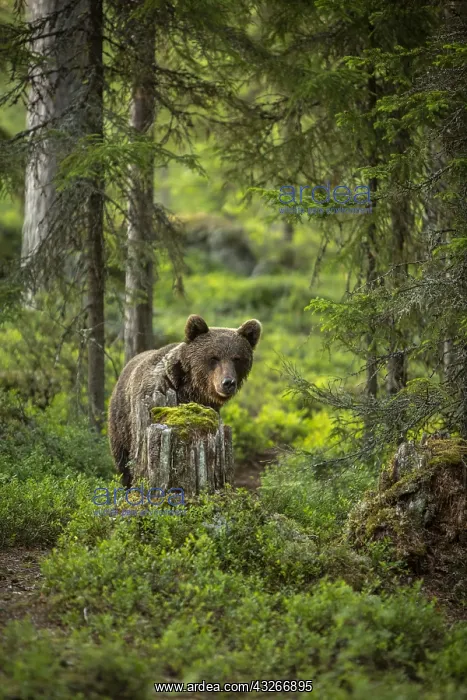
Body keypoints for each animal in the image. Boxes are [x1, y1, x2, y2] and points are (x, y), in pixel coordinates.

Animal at [108, 314, 262, 487]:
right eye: (214, 357)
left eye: (237, 358)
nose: (228, 382)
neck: (192, 389)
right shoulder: (157, 393)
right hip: (121, 421)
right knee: (123, 459)